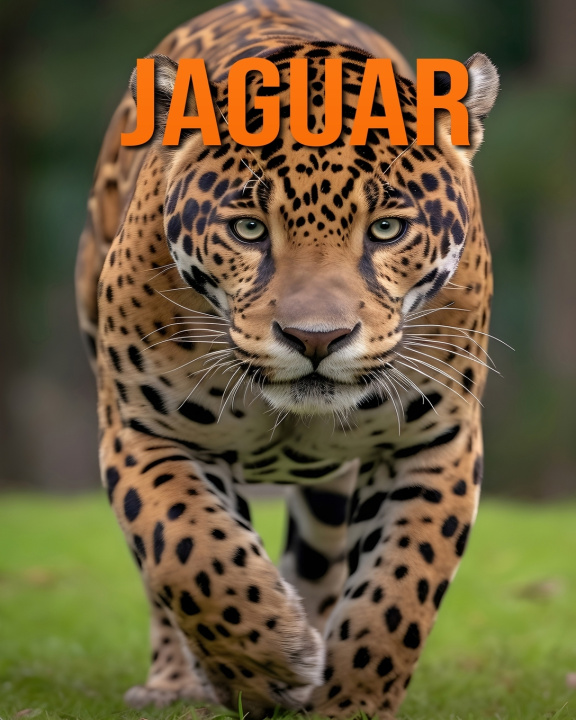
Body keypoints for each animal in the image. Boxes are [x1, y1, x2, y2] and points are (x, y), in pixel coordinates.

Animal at [75, 0, 499, 717]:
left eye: (387, 229)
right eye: (249, 229)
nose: (317, 339)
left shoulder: (436, 440)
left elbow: (397, 592)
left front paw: (350, 700)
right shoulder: (144, 430)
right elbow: (190, 552)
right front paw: (268, 663)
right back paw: (179, 681)